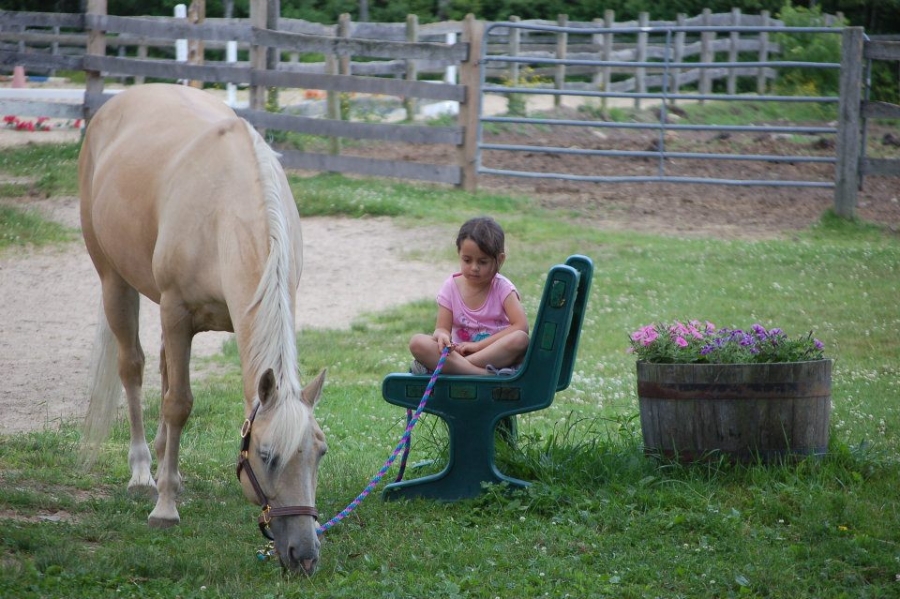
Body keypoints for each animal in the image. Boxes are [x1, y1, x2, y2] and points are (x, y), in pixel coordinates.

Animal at [79, 82, 326, 576]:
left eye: (320, 452)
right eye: (267, 457)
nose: (304, 555)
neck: (227, 212)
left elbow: (178, 393)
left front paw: (171, 478)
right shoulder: (177, 313)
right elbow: (179, 403)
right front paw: (165, 508)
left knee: (158, 367)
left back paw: (163, 465)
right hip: (115, 282)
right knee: (133, 368)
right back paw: (142, 473)